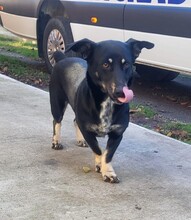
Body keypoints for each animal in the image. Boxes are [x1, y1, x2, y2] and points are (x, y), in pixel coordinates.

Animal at [49, 38, 154, 183]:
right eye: (105, 64)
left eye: (126, 64)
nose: (121, 92)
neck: (107, 103)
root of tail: (63, 58)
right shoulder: (87, 130)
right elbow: (98, 149)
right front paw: (100, 165)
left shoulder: (117, 133)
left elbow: (108, 154)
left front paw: (108, 171)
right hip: (57, 103)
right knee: (57, 122)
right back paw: (56, 141)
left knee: (75, 120)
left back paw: (80, 140)